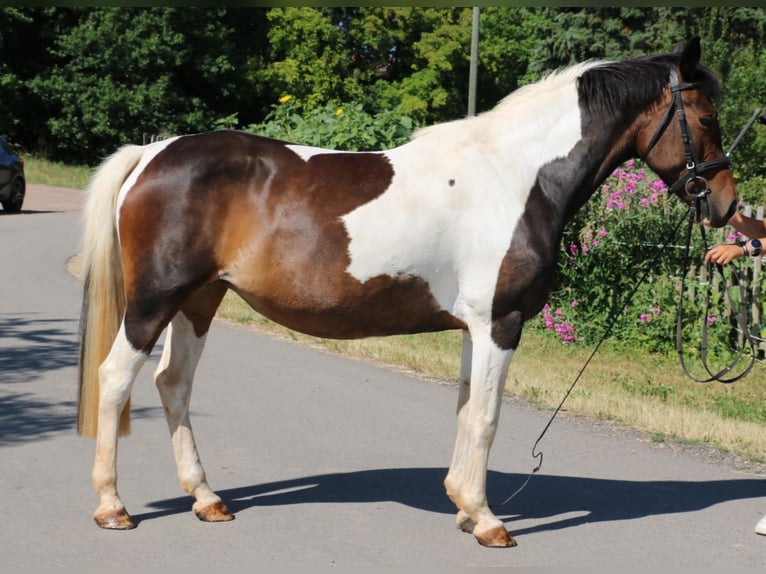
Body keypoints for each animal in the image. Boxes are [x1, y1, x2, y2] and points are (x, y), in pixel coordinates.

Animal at [77, 38, 737, 547]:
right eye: (706, 119)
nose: (727, 205)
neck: (515, 178)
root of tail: (152, 153)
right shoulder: (501, 323)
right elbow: (488, 419)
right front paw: (489, 521)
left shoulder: (476, 328)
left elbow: (467, 410)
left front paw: (465, 507)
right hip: (155, 301)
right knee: (116, 378)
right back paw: (112, 507)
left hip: (200, 299)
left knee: (173, 384)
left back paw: (207, 498)